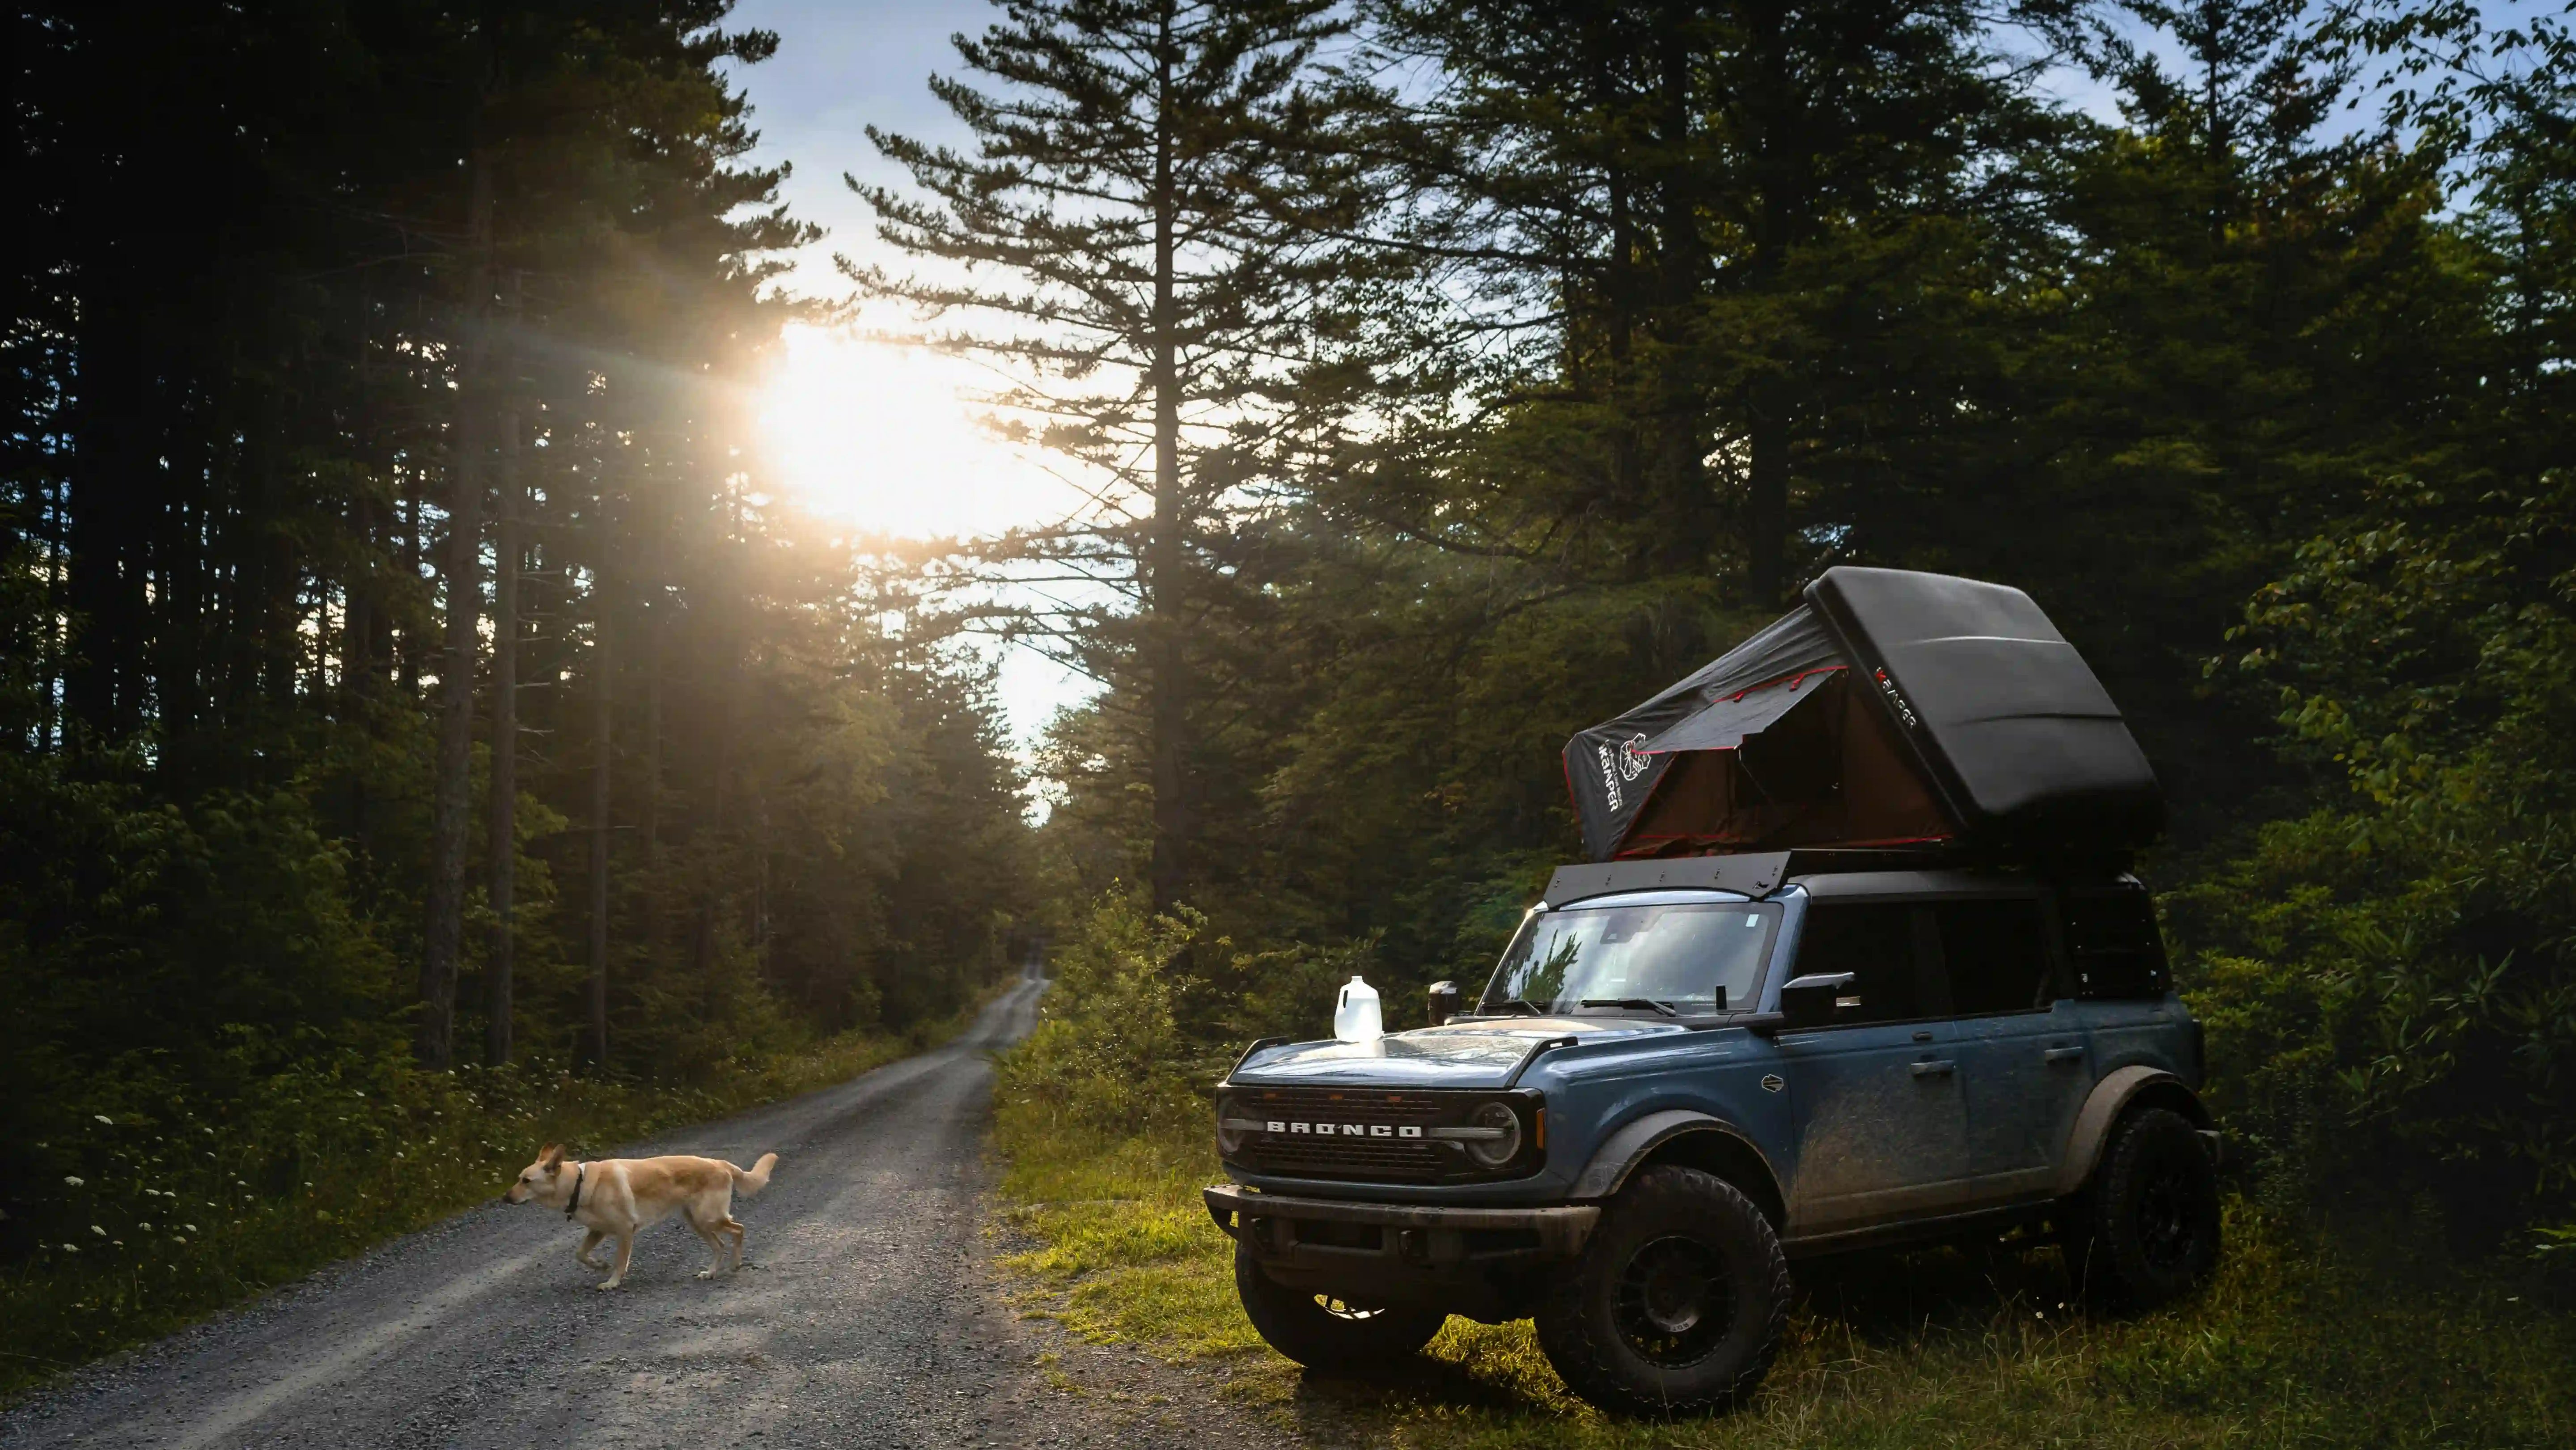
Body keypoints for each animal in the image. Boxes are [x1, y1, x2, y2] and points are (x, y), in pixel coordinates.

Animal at [502, 1149, 773, 1293]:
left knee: (738, 1230)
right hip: (697, 1221)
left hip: (707, 1218)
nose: (505, 1198)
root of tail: (720, 1163)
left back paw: (736, 1264)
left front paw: (612, 1282)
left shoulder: (625, 1231)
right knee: (720, 1245)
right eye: (519, 1179)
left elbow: (621, 1262)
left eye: (526, 1181)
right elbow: (580, 1254)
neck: (579, 1183)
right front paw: (599, 1265)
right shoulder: (597, 1231)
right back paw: (712, 1272)